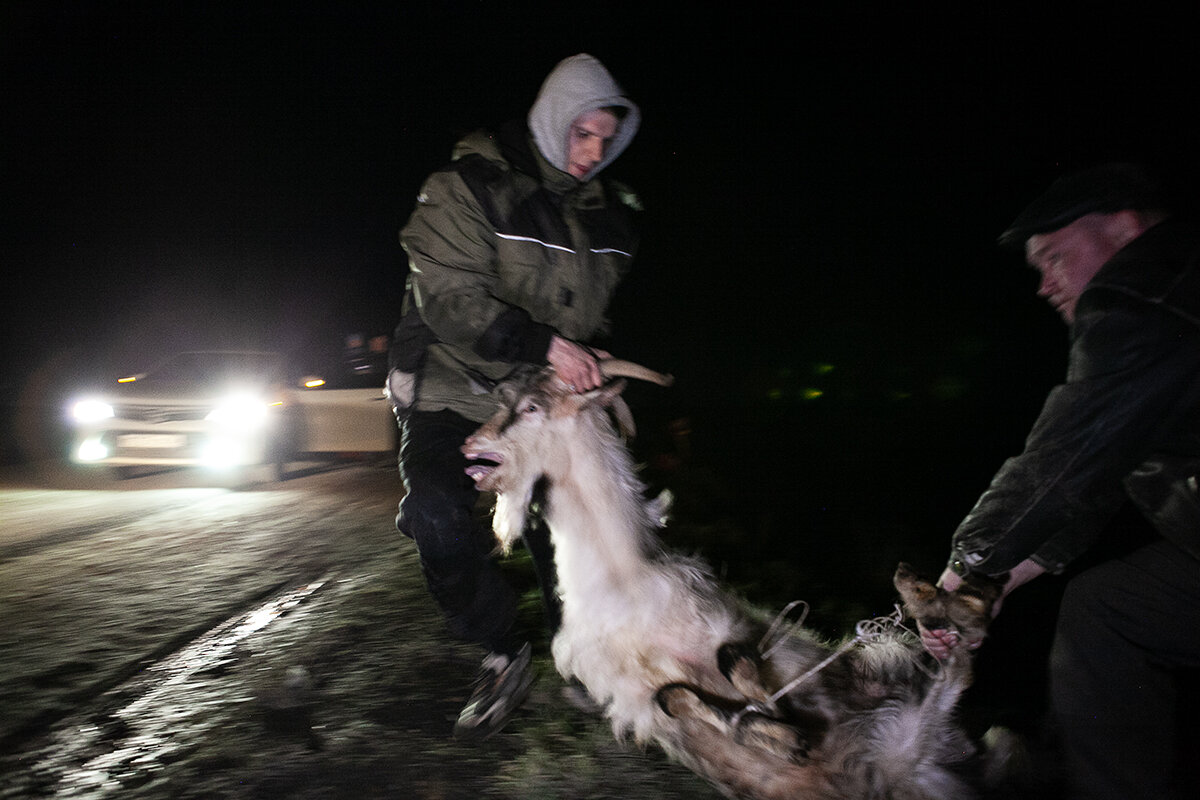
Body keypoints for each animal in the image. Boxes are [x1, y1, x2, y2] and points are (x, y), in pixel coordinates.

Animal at [463, 364, 988, 800]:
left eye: (532, 407)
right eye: (501, 401)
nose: (469, 447)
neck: (619, 589)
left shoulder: (724, 629)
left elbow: (732, 660)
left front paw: (776, 725)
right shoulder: (628, 696)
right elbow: (674, 696)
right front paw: (783, 738)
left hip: (906, 708)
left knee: (958, 665)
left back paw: (935, 599)